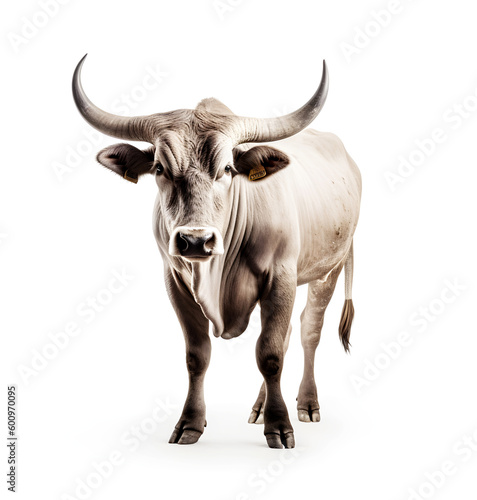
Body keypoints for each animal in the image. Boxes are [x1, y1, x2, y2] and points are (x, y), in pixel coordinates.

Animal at [71, 55, 360, 450]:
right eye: (159, 168)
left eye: (227, 169)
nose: (195, 241)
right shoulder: (175, 281)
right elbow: (197, 355)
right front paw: (190, 423)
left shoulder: (281, 277)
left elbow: (270, 354)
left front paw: (280, 426)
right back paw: (259, 407)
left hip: (328, 270)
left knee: (307, 331)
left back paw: (307, 403)